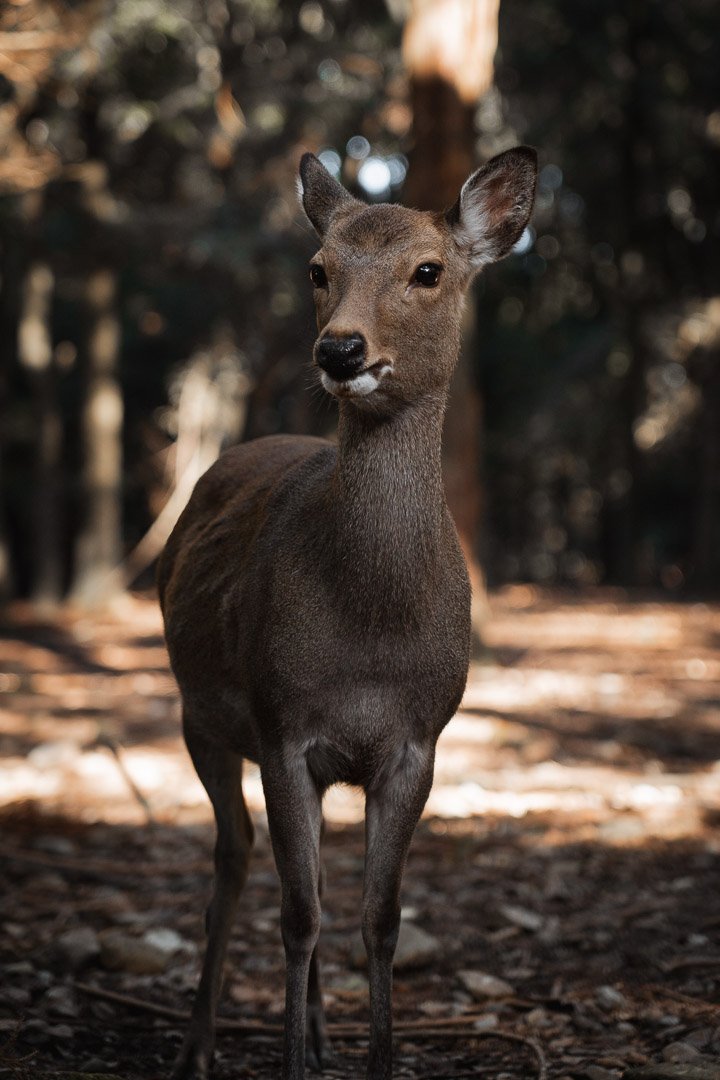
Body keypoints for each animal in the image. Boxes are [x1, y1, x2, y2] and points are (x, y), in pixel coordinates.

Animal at [160, 145, 537, 1080]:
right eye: (318, 268)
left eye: (428, 271)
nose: (340, 348)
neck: (370, 636)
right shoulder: (282, 725)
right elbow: (298, 913)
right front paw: (295, 1061)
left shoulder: (416, 742)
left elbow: (380, 918)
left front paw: (374, 1058)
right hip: (198, 714)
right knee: (233, 860)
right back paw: (197, 1047)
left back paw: (321, 1033)